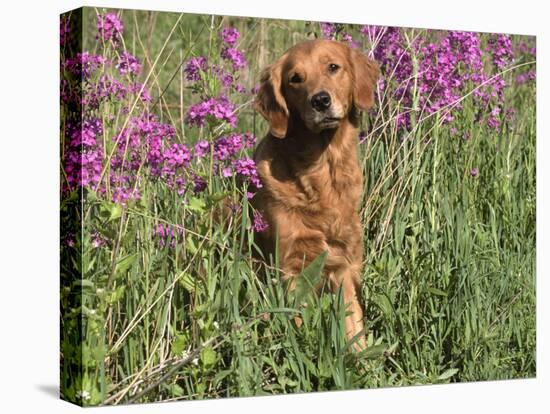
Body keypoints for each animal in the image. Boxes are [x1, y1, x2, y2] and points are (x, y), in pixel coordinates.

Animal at [253, 38, 380, 350]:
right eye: (295, 79)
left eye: (333, 67)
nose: (320, 101)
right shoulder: (291, 267)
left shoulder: (343, 263)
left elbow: (353, 324)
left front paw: (361, 355)